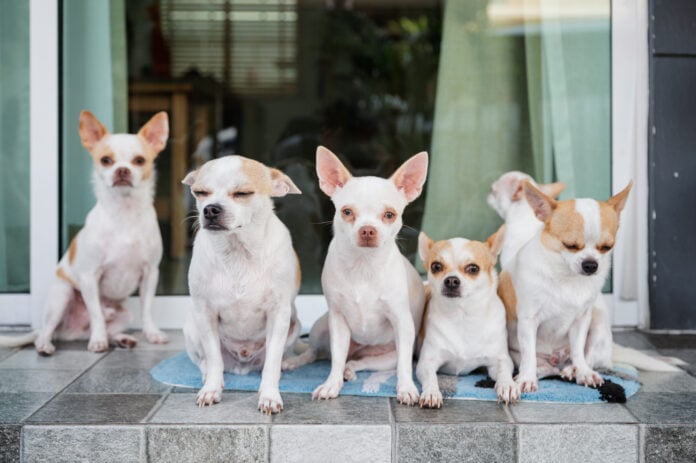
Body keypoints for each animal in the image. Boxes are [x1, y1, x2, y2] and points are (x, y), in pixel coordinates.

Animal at [0, 109, 170, 356]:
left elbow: (147, 308)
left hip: (124, 314)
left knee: (111, 326)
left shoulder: (150, 273)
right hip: (61, 297)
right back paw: (46, 345)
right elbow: (96, 313)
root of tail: (72, 333)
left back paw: (122, 339)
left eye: (139, 160)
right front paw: (97, 341)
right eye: (106, 160)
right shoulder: (90, 276)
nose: (122, 170)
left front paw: (152, 333)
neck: (124, 213)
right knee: (46, 330)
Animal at [181, 156, 300, 414]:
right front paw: (212, 389)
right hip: (192, 325)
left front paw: (269, 395)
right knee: (205, 360)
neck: (237, 251)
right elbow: (213, 356)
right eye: (200, 192)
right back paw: (207, 376)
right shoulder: (206, 313)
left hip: (294, 324)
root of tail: (242, 364)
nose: (210, 208)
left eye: (243, 193)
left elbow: (272, 361)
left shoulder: (279, 314)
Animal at [282, 146, 424, 406]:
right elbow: (336, 359)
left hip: (385, 358)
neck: (363, 265)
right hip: (322, 328)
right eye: (347, 212)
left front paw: (406, 388)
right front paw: (331, 385)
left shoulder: (402, 322)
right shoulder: (338, 322)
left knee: (361, 362)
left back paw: (351, 370)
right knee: (316, 352)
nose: (367, 230)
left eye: (389, 215)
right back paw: (296, 361)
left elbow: (404, 367)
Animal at [416, 230, 520, 408]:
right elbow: (431, 377)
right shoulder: (426, 362)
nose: (451, 280)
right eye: (436, 266)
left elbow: (504, 372)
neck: (462, 315)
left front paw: (508, 385)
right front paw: (431, 392)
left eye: (473, 269)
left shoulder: (501, 360)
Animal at [498, 181, 632, 392]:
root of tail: (556, 359)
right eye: (570, 245)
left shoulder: (581, 320)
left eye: (606, 247)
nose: (591, 264)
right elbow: (529, 355)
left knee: (589, 356)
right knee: (543, 367)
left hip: (598, 321)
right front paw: (527, 378)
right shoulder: (528, 321)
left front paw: (583, 372)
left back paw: (574, 370)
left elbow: (578, 350)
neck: (565, 277)